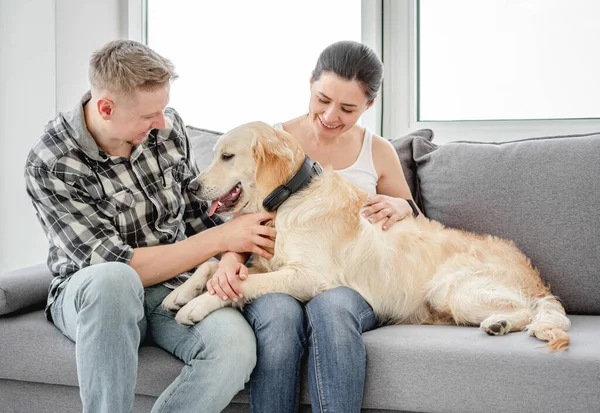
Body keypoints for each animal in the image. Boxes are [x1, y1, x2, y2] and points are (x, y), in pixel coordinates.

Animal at [164, 120, 572, 350]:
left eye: (227, 157)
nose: (191, 186)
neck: (289, 199)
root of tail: (534, 275)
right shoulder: (271, 263)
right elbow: (214, 263)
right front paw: (181, 293)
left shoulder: (310, 276)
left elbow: (241, 282)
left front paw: (195, 306)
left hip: (456, 290)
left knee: (528, 311)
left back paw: (499, 323)